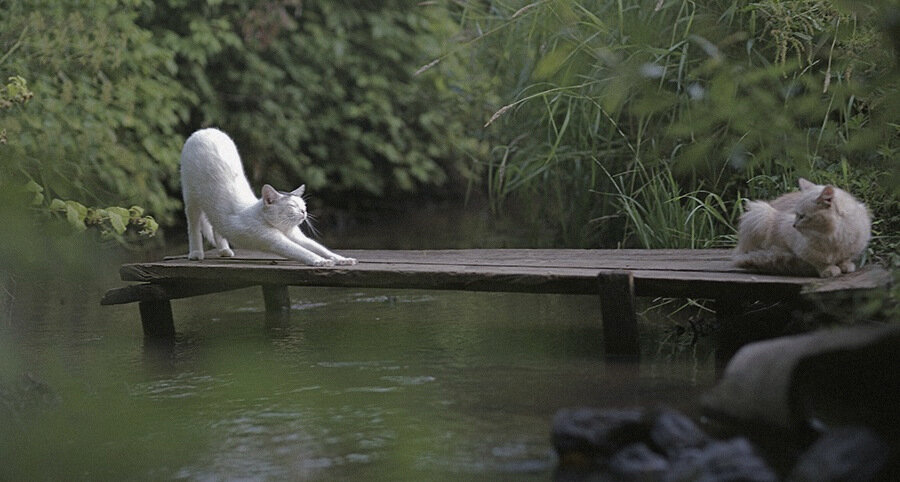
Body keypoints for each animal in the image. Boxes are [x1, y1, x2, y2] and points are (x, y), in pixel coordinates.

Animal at [179, 126, 356, 268]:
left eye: (303, 206)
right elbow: (302, 251)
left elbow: (320, 248)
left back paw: (224, 250)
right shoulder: (275, 241)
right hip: (191, 198)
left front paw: (341, 259)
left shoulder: (297, 237)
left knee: (216, 226)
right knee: (193, 226)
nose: (304, 212)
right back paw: (196, 253)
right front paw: (321, 261)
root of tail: (204, 131)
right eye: (292, 206)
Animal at [732, 177, 872, 276]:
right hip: (759, 214)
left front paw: (845, 266)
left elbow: (846, 257)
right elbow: (819, 262)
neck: (832, 238)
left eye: (802, 216)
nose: (794, 225)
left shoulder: (857, 244)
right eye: (795, 214)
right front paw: (829, 270)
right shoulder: (798, 245)